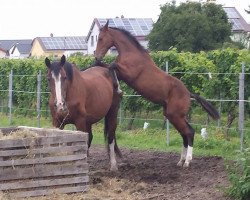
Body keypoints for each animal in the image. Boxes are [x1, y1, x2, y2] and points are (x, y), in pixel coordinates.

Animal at [94, 21, 220, 167]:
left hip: (175, 115)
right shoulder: (121, 73)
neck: (131, 53)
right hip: (173, 116)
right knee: (185, 134)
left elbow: (112, 65)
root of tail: (189, 93)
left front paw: (119, 89)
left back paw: (187, 161)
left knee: (190, 132)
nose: (97, 55)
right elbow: (106, 66)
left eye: (101, 38)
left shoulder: (129, 74)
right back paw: (181, 161)